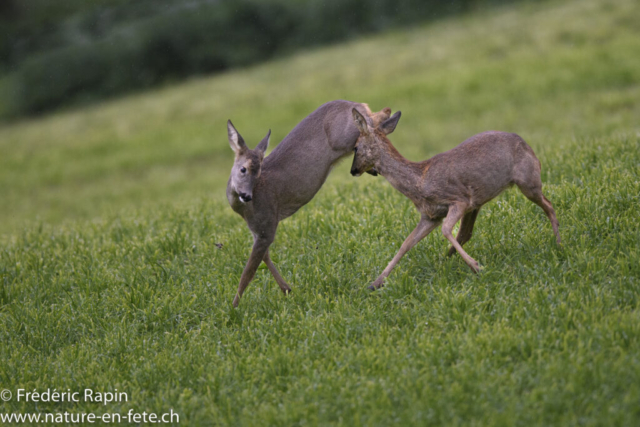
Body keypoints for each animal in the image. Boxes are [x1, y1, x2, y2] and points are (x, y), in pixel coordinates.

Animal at [228, 100, 392, 308]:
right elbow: (265, 257)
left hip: (343, 136)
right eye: (243, 169)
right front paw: (287, 289)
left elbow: (248, 273)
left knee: (373, 120)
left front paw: (232, 308)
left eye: (257, 174)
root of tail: (356, 103)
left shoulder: (267, 225)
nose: (246, 195)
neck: (245, 209)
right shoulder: (256, 230)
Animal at [350, 108, 560, 290]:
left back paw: (558, 245)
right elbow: (406, 244)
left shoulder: (459, 199)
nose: (353, 171)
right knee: (466, 232)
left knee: (549, 205)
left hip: (528, 180)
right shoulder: (431, 216)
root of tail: (528, 146)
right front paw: (375, 283)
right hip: (480, 202)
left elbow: (445, 230)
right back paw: (445, 260)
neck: (420, 181)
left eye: (356, 147)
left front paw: (476, 266)